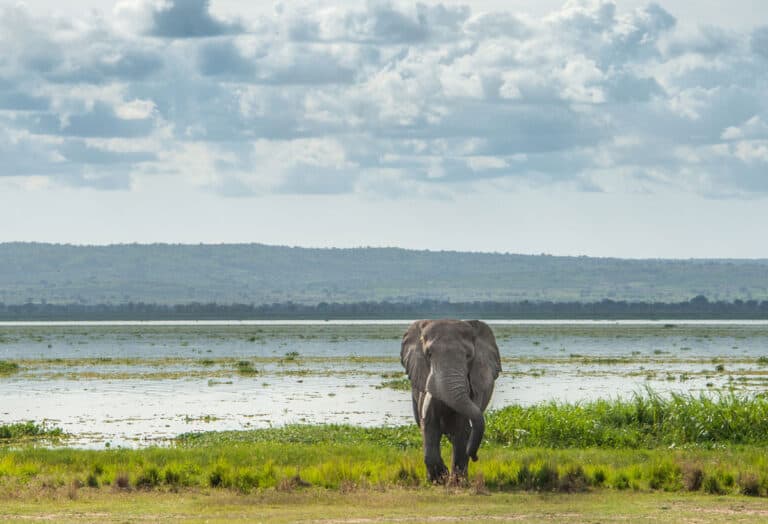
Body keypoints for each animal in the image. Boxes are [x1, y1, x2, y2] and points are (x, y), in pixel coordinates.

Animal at [402, 320, 504, 484]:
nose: (475, 457)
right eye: (429, 354)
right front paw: (439, 479)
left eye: (469, 356)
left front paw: (456, 482)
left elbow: (461, 429)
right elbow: (429, 425)